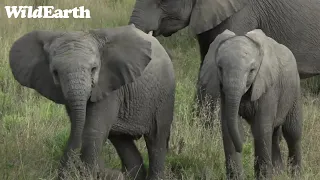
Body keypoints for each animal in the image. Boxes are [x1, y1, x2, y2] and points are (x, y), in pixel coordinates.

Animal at [8, 24, 175, 180]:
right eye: (55, 72)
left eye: (94, 69)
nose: (115, 173)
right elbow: (81, 126)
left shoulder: (109, 85)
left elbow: (92, 131)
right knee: (121, 140)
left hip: (163, 96)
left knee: (157, 140)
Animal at [200, 29, 302, 179]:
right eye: (220, 68)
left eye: (252, 70)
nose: (241, 147)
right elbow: (230, 127)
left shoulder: (268, 88)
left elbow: (261, 129)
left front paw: (264, 177)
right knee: (274, 134)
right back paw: (279, 173)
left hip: (294, 90)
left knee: (292, 132)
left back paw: (296, 175)